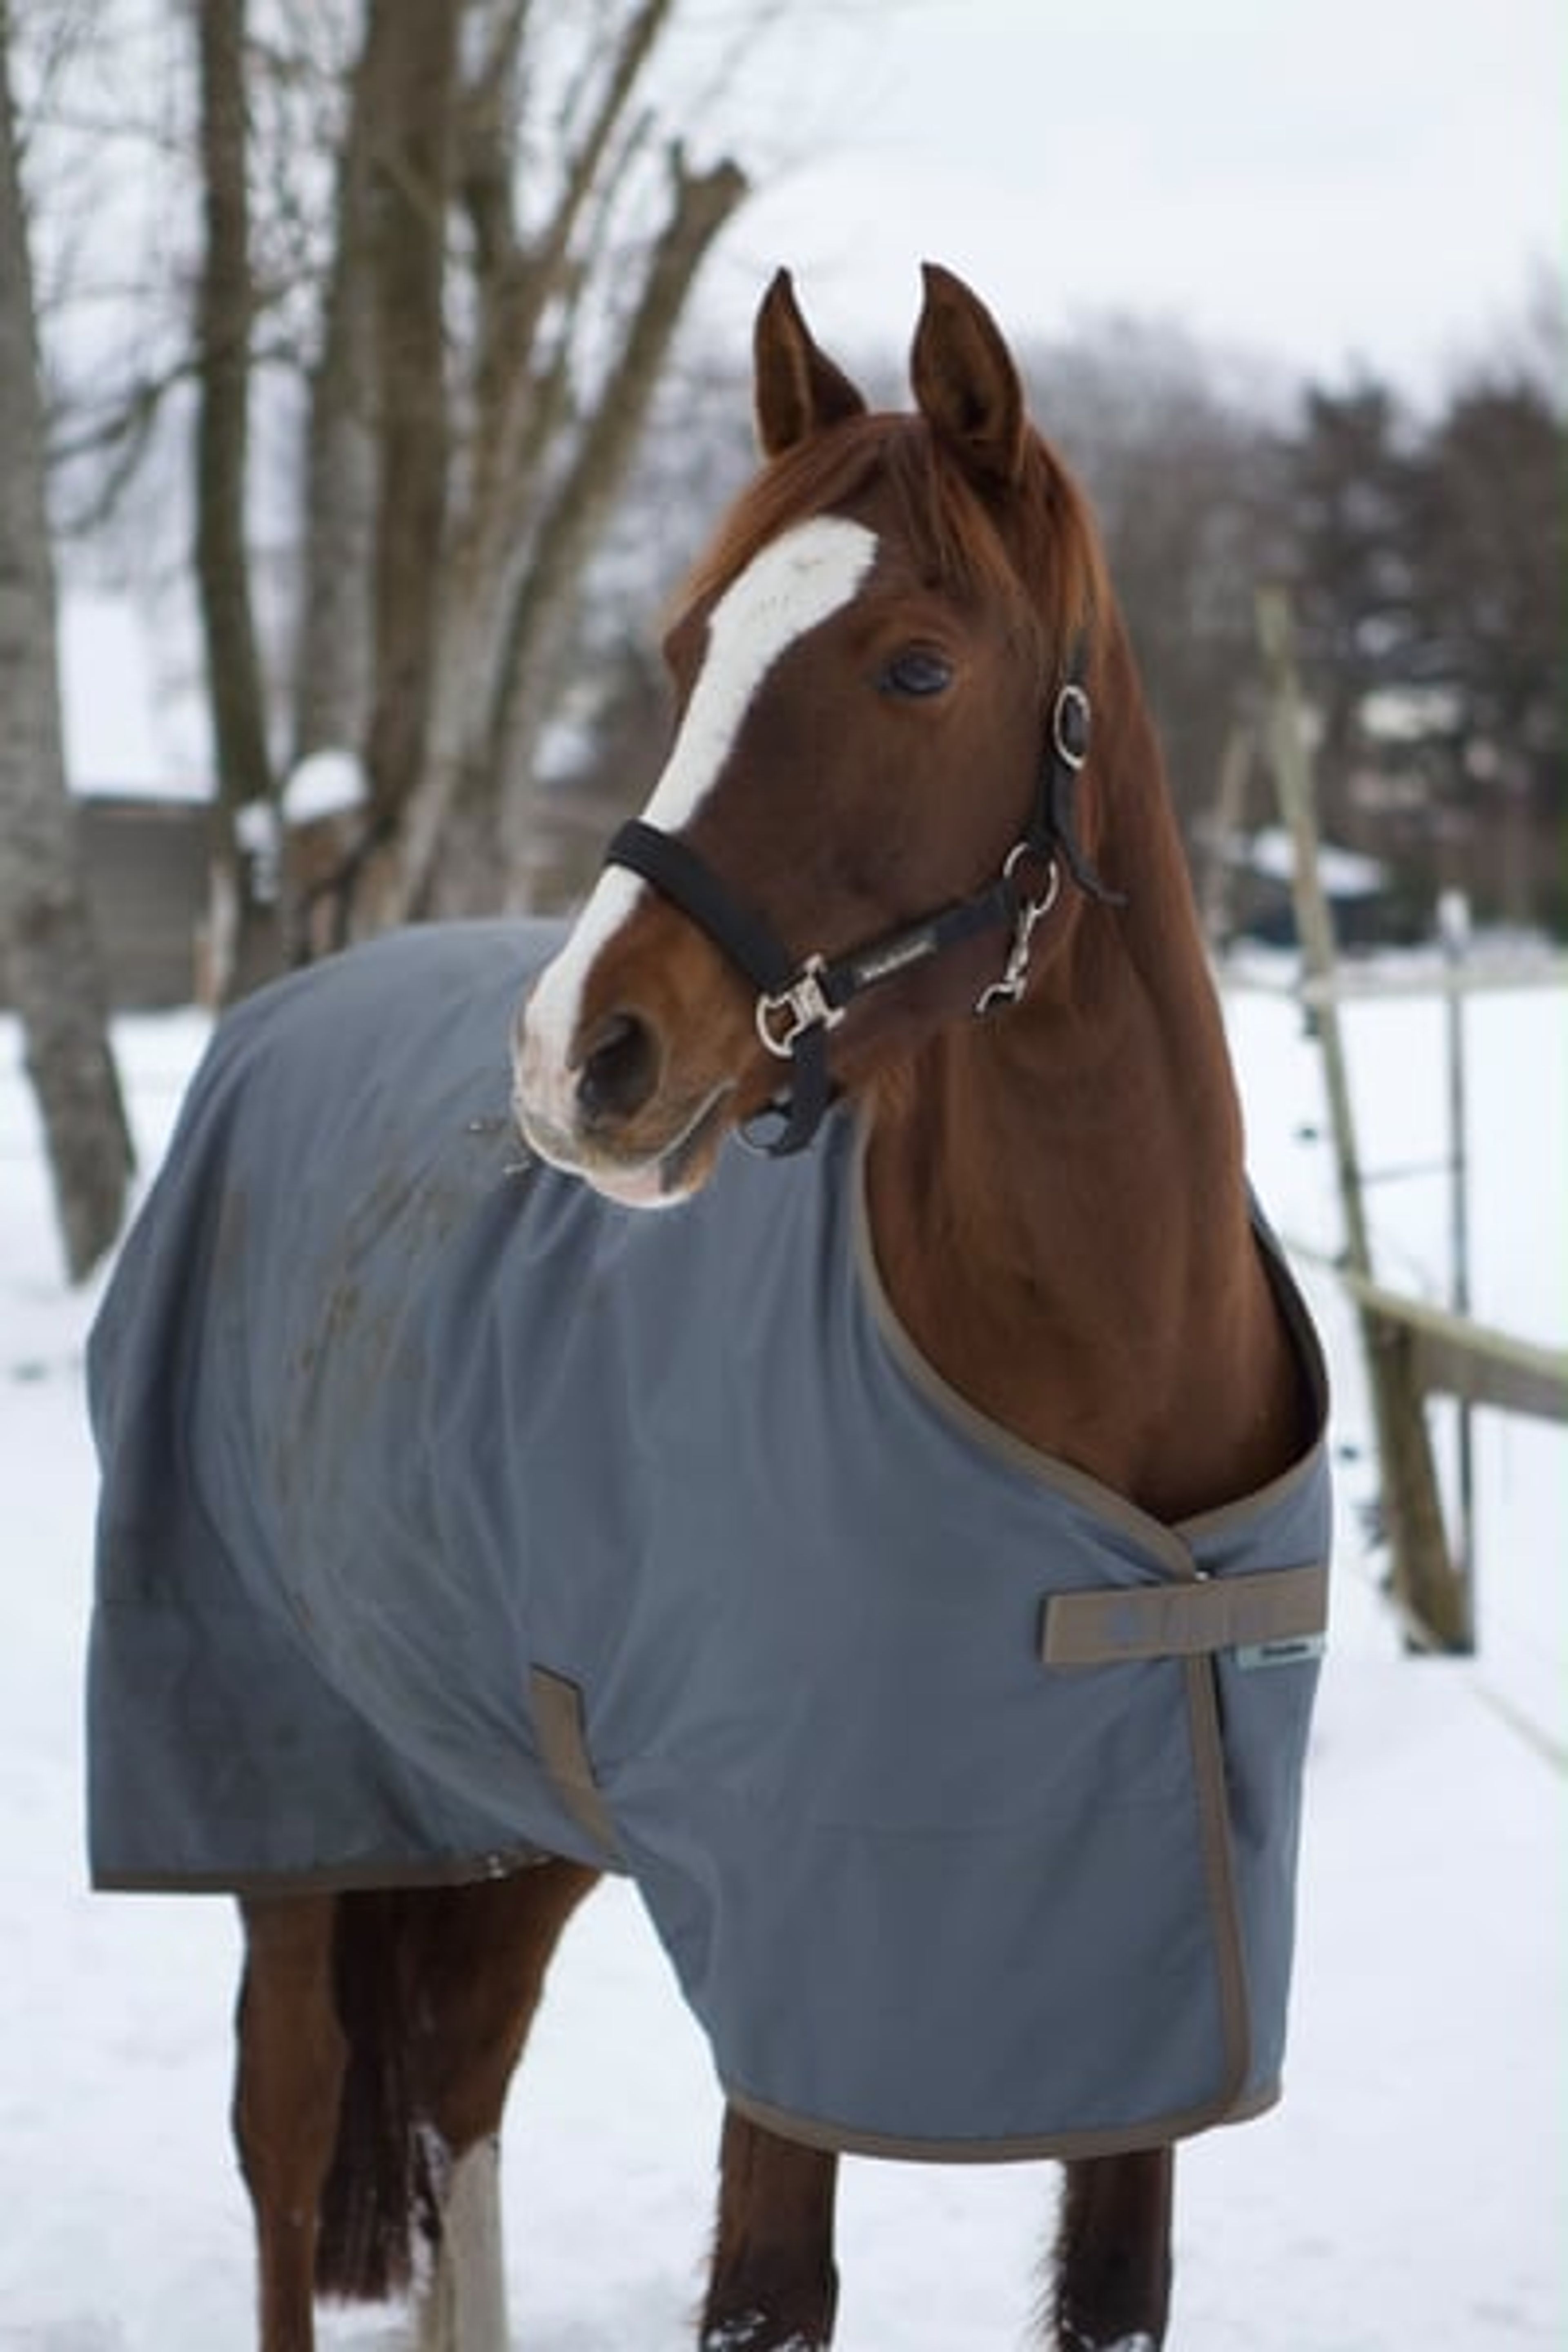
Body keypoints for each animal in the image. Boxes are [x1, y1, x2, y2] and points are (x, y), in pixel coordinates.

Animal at [86, 264, 1330, 2352]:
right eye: (687, 646)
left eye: (916, 670)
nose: (576, 1056)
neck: (1100, 1388)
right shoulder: (783, 1995)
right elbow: (765, 2293)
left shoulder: (1144, 2022)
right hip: (295, 1788)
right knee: (293, 2130)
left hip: (507, 1801)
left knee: (455, 2102)